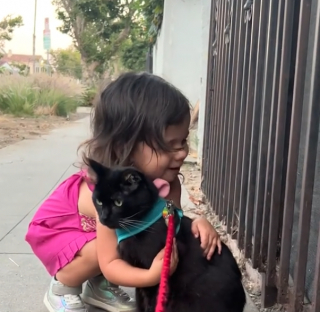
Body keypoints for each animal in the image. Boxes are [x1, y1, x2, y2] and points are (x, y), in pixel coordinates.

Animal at [89, 161, 246, 312]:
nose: (103, 217)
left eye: (118, 202)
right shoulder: (142, 277)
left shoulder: (154, 278)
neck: (138, 227)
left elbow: (152, 301)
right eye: (99, 201)